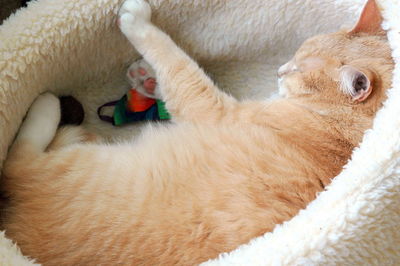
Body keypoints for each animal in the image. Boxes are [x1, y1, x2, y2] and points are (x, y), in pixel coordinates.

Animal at [0, 0, 394, 264]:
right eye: (297, 53)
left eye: (298, 69)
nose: (281, 70)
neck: (337, 134)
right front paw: (147, 80)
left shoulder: (209, 107)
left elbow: (175, 64)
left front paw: (137, 22)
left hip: (57, 168)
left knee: (18, 160)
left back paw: (46, 105)